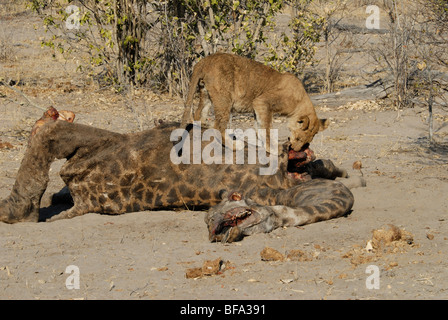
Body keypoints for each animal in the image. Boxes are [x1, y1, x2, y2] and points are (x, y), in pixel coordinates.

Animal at [182, 52, 328, 152]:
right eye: (299, 139)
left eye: (307, 141)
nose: (295, 149)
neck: (300, 100)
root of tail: (204, 60)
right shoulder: (262, 101)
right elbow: (267, 129)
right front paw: (273, 149)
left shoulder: (257, 107)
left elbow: (259, 127)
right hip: (224, 100)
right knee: (218, 126)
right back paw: (234, 145)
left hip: (206, 94)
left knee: (198, 114)